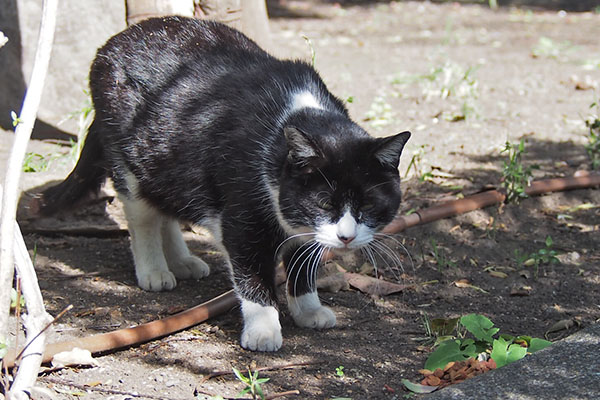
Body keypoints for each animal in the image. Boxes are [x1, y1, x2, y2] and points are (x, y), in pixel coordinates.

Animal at [37, 17, 410, 352]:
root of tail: (114, 42)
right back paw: (154, 270)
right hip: (128, 158)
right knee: (142, 216)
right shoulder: (243, 223)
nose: (346, 237)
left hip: (167, 159)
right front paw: (263, 331)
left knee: (167, 204)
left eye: (368, 205)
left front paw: (308, 309)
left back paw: (183, 262)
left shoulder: (305, 231)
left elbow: (303, 266)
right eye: (323, 203)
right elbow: (253, 278)